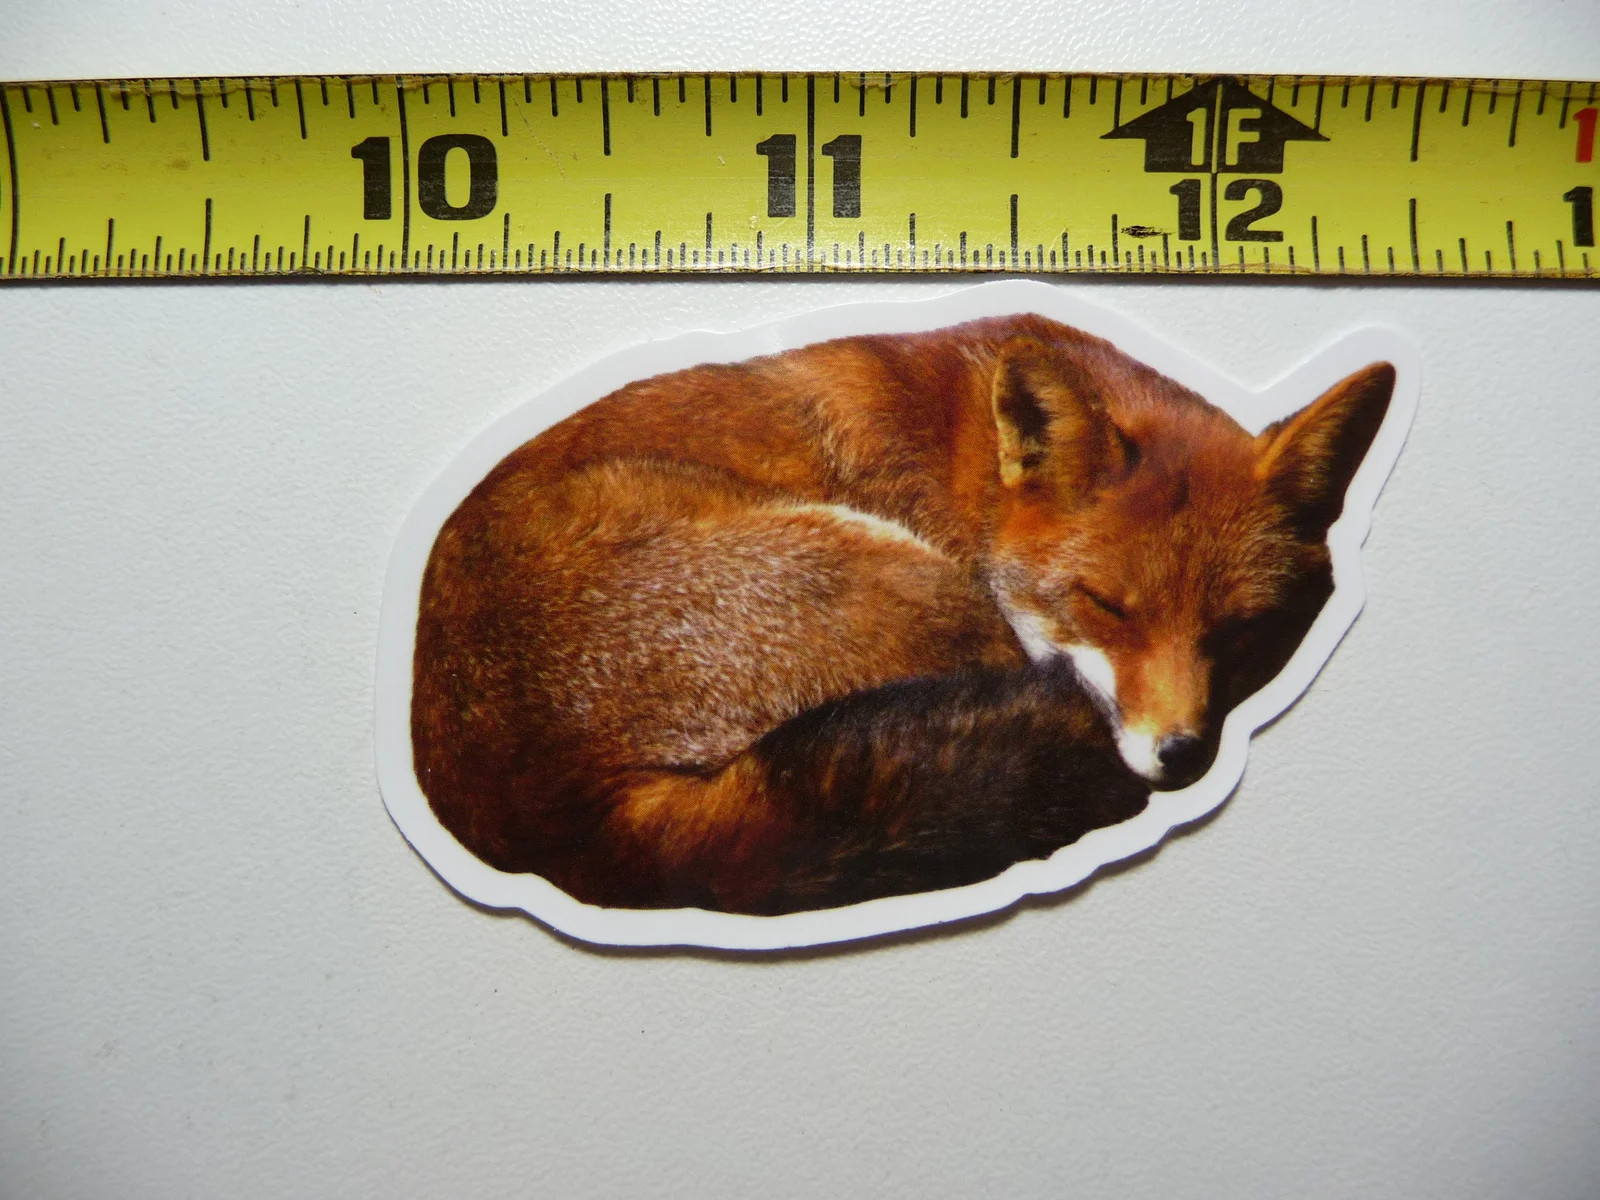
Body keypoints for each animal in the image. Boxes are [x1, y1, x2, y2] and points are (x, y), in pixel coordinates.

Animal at [410, 313, 1396, 917]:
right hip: (912, 587)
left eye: (1243, 632)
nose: (1183, 757)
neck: (969, 471)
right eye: (1105, 606)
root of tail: (560, 830)